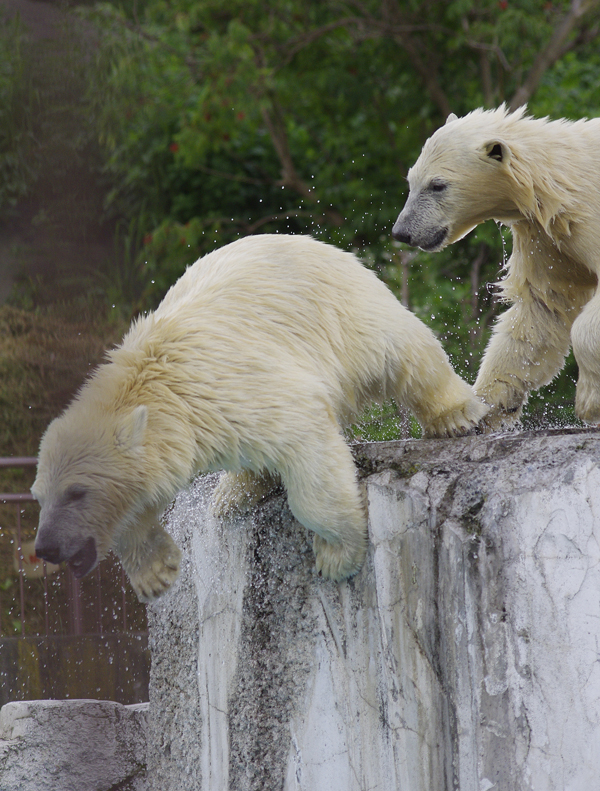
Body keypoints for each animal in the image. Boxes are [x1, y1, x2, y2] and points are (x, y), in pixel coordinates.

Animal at [31, 234, 488, 600]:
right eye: (39, 495)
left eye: (76, 492)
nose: (45, 547)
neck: (159, 387)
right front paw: (154, 573)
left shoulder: (226, 388)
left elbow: (302, 436)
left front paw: (337, 554)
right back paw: (233, 495)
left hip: (346, 313)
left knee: (404, 351)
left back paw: (456, 414)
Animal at [392, 104, 600, 430]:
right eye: (411, 181)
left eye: (437, 185)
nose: (402, 232)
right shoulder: (547, 235)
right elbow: (543, 308)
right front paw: (488, 406)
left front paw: (590, 401)